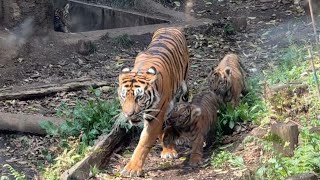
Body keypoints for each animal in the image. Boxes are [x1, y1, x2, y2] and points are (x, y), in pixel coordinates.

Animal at [118, 27, 190, 177]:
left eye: (139, 97)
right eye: (123, 96)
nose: (128, 114)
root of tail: (170, 27)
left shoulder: (155, 116)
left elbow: (143, 143)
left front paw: (131, 168)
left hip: (181, 90)